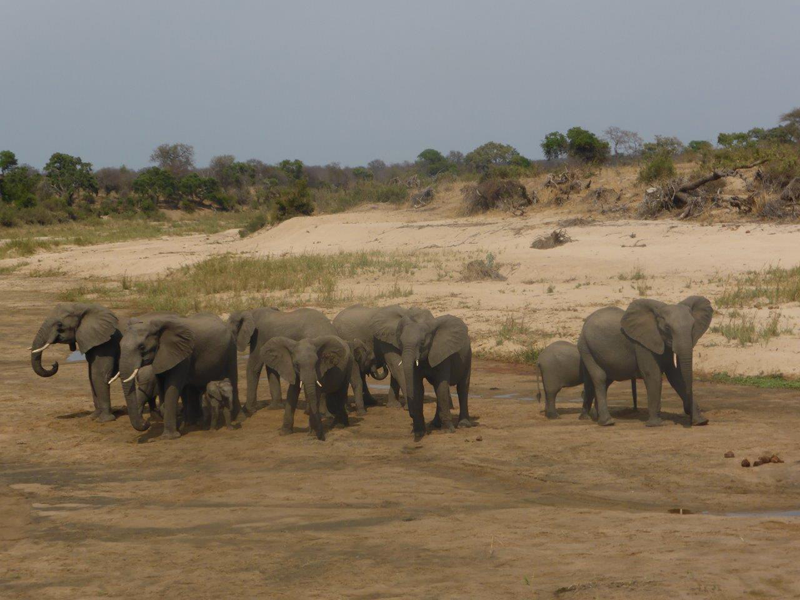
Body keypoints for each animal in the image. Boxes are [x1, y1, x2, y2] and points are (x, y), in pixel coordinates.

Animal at [370, 306, 473, 441]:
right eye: (400, 342)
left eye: (423, 342)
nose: (410, 413)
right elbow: (418, 388)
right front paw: (419, 433)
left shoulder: (442, 353)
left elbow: (441, 386)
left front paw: (447, 431)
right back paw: (435, 424)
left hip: (468, 356)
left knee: (462, 387)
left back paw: (463, 425)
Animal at [578, 296, 713, 427]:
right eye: (667, 328)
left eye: (693, 327)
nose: (686, 410)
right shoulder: (642, 344)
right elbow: (653, 375)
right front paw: (655, 424)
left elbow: (675, 376)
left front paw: (701, 422)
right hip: (586, 348)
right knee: (599, 378)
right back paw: (607, 422)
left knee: (604, 381)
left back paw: (596, 417)